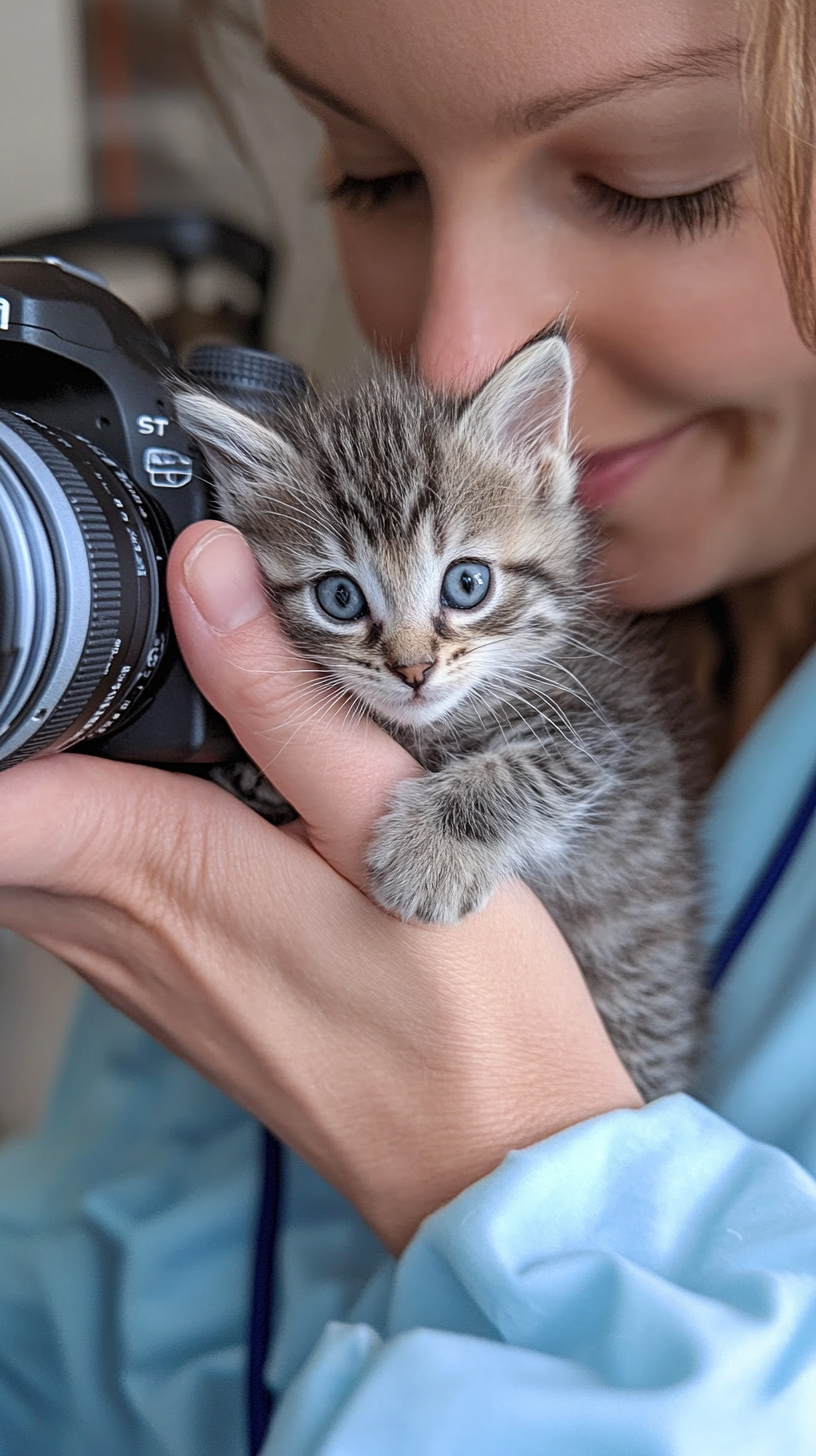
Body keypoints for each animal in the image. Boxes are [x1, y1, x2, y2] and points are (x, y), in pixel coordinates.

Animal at [175, 337, 705, 1094]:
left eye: (467, 582)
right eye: (339, 596)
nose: (413, 669)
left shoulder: (613, 731)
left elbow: (536, 766)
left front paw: (432, 851)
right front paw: (253, 778)